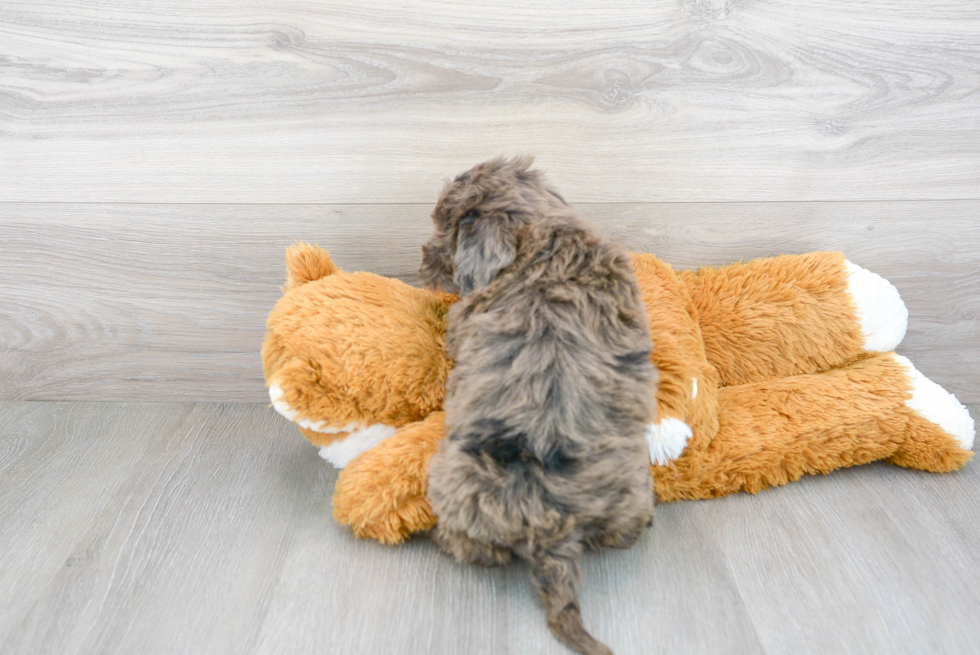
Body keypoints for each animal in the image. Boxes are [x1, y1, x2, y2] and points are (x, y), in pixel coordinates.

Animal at [420, 155, 660, 655]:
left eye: (445, 230)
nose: (422, 258)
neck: (540, 233)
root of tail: (553, 529)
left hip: (454, 480)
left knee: (477, 550)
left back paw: (440, 537)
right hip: (631, 488)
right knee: (624, 532)